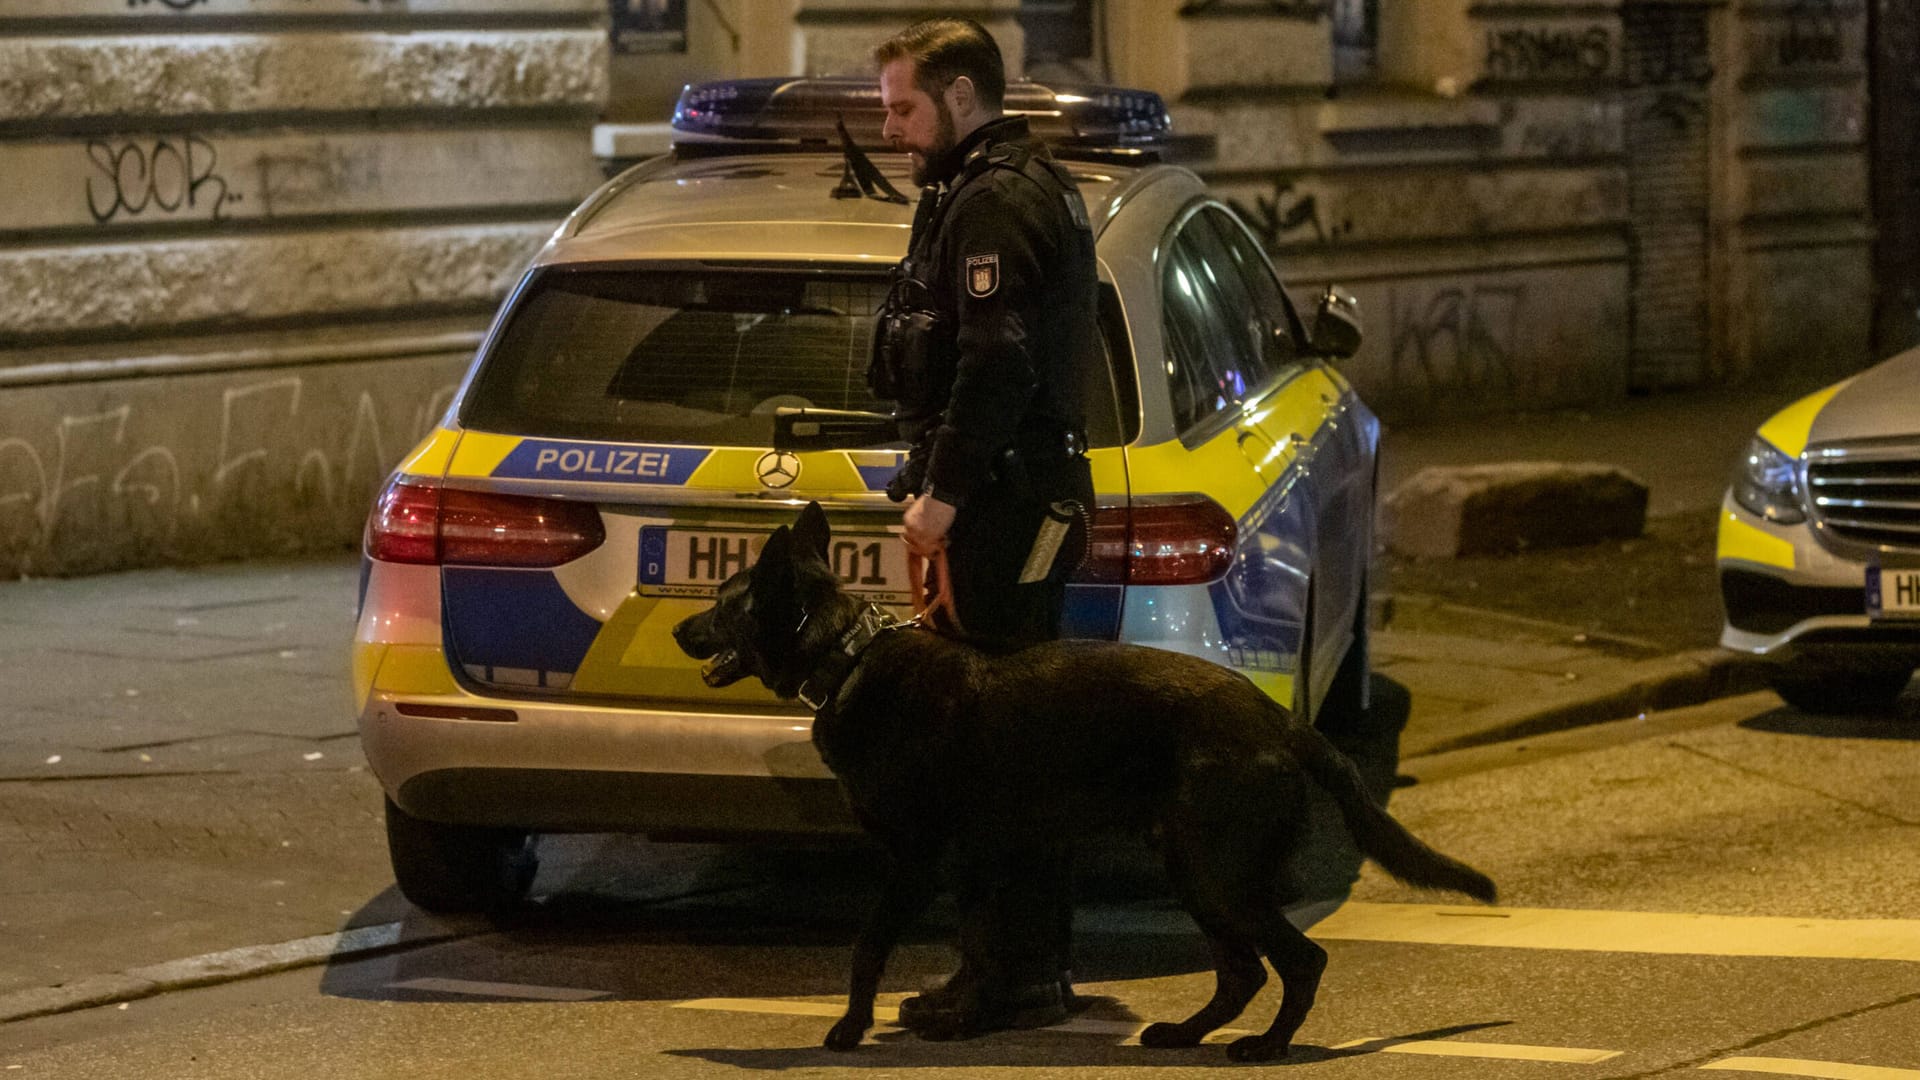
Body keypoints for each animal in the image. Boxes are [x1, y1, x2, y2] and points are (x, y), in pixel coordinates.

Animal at [675, 503, 1497, 1060]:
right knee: (1241, 971)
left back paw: (1266, 1047)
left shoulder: (914, 862)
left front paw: (849, 1029)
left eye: (722, 603)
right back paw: (1187, 1033)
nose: (682, 630)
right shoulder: (979, 862)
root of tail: (1281, 720)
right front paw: (962, 1020)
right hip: (1195, 872)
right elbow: (981, 947)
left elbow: (870, 946)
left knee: (1299, 960)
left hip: (1217, 871)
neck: (847, 658)